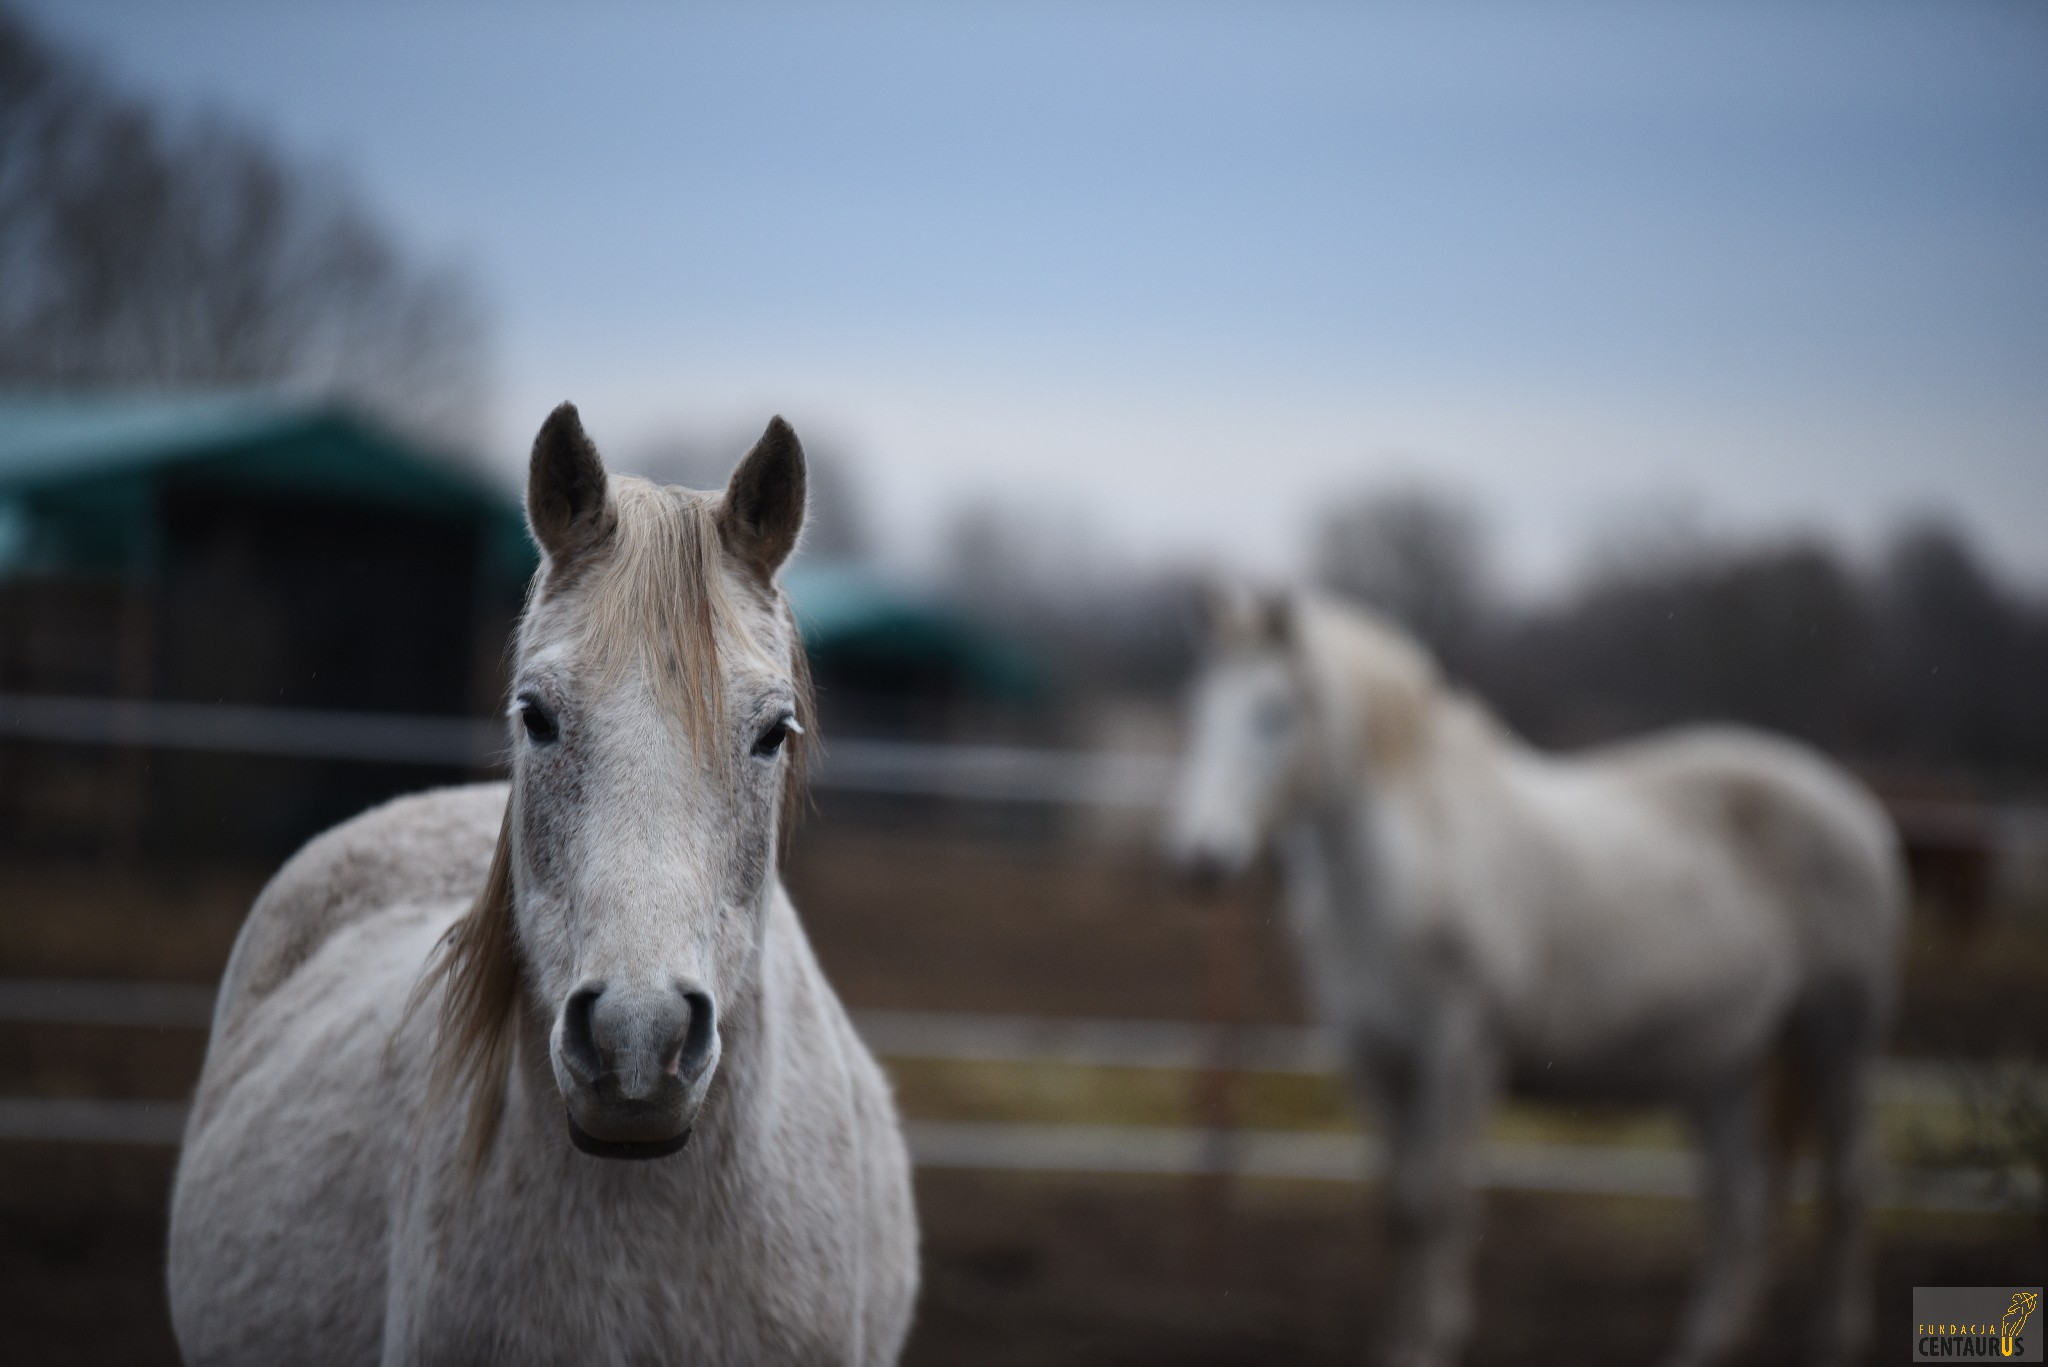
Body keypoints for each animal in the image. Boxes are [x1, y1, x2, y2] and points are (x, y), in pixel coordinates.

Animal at [1171, 590, 1900, 1367]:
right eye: (1197, 709)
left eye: (1275, 711)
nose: (1200, 855)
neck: (1411, 868)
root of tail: (1857, 810)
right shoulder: (1371, 1059)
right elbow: (1398, 1205)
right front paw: (1401, 1340)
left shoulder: (1462, 1053)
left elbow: (1435, 1202)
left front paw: (1429, 1344)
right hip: (1721, 1066)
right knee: (1742, 1202)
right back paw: (1702, 1346)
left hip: (1837, 1036)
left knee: (1848, 1184)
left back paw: (1832, 1340)